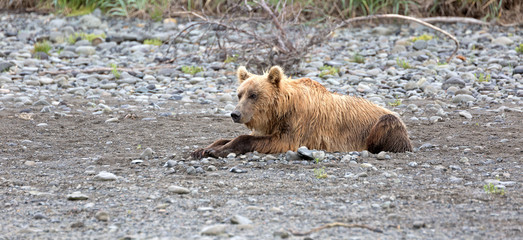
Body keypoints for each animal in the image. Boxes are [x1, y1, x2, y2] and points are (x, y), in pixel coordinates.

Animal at [192, 65, 414, 159]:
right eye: (239, 94)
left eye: (253, 95)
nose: (235, 114)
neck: (280, 111)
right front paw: (204, 149)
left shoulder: (297, 125)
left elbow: (269, 140)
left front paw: (217, 150)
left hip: (383, 125)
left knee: (387, 124)